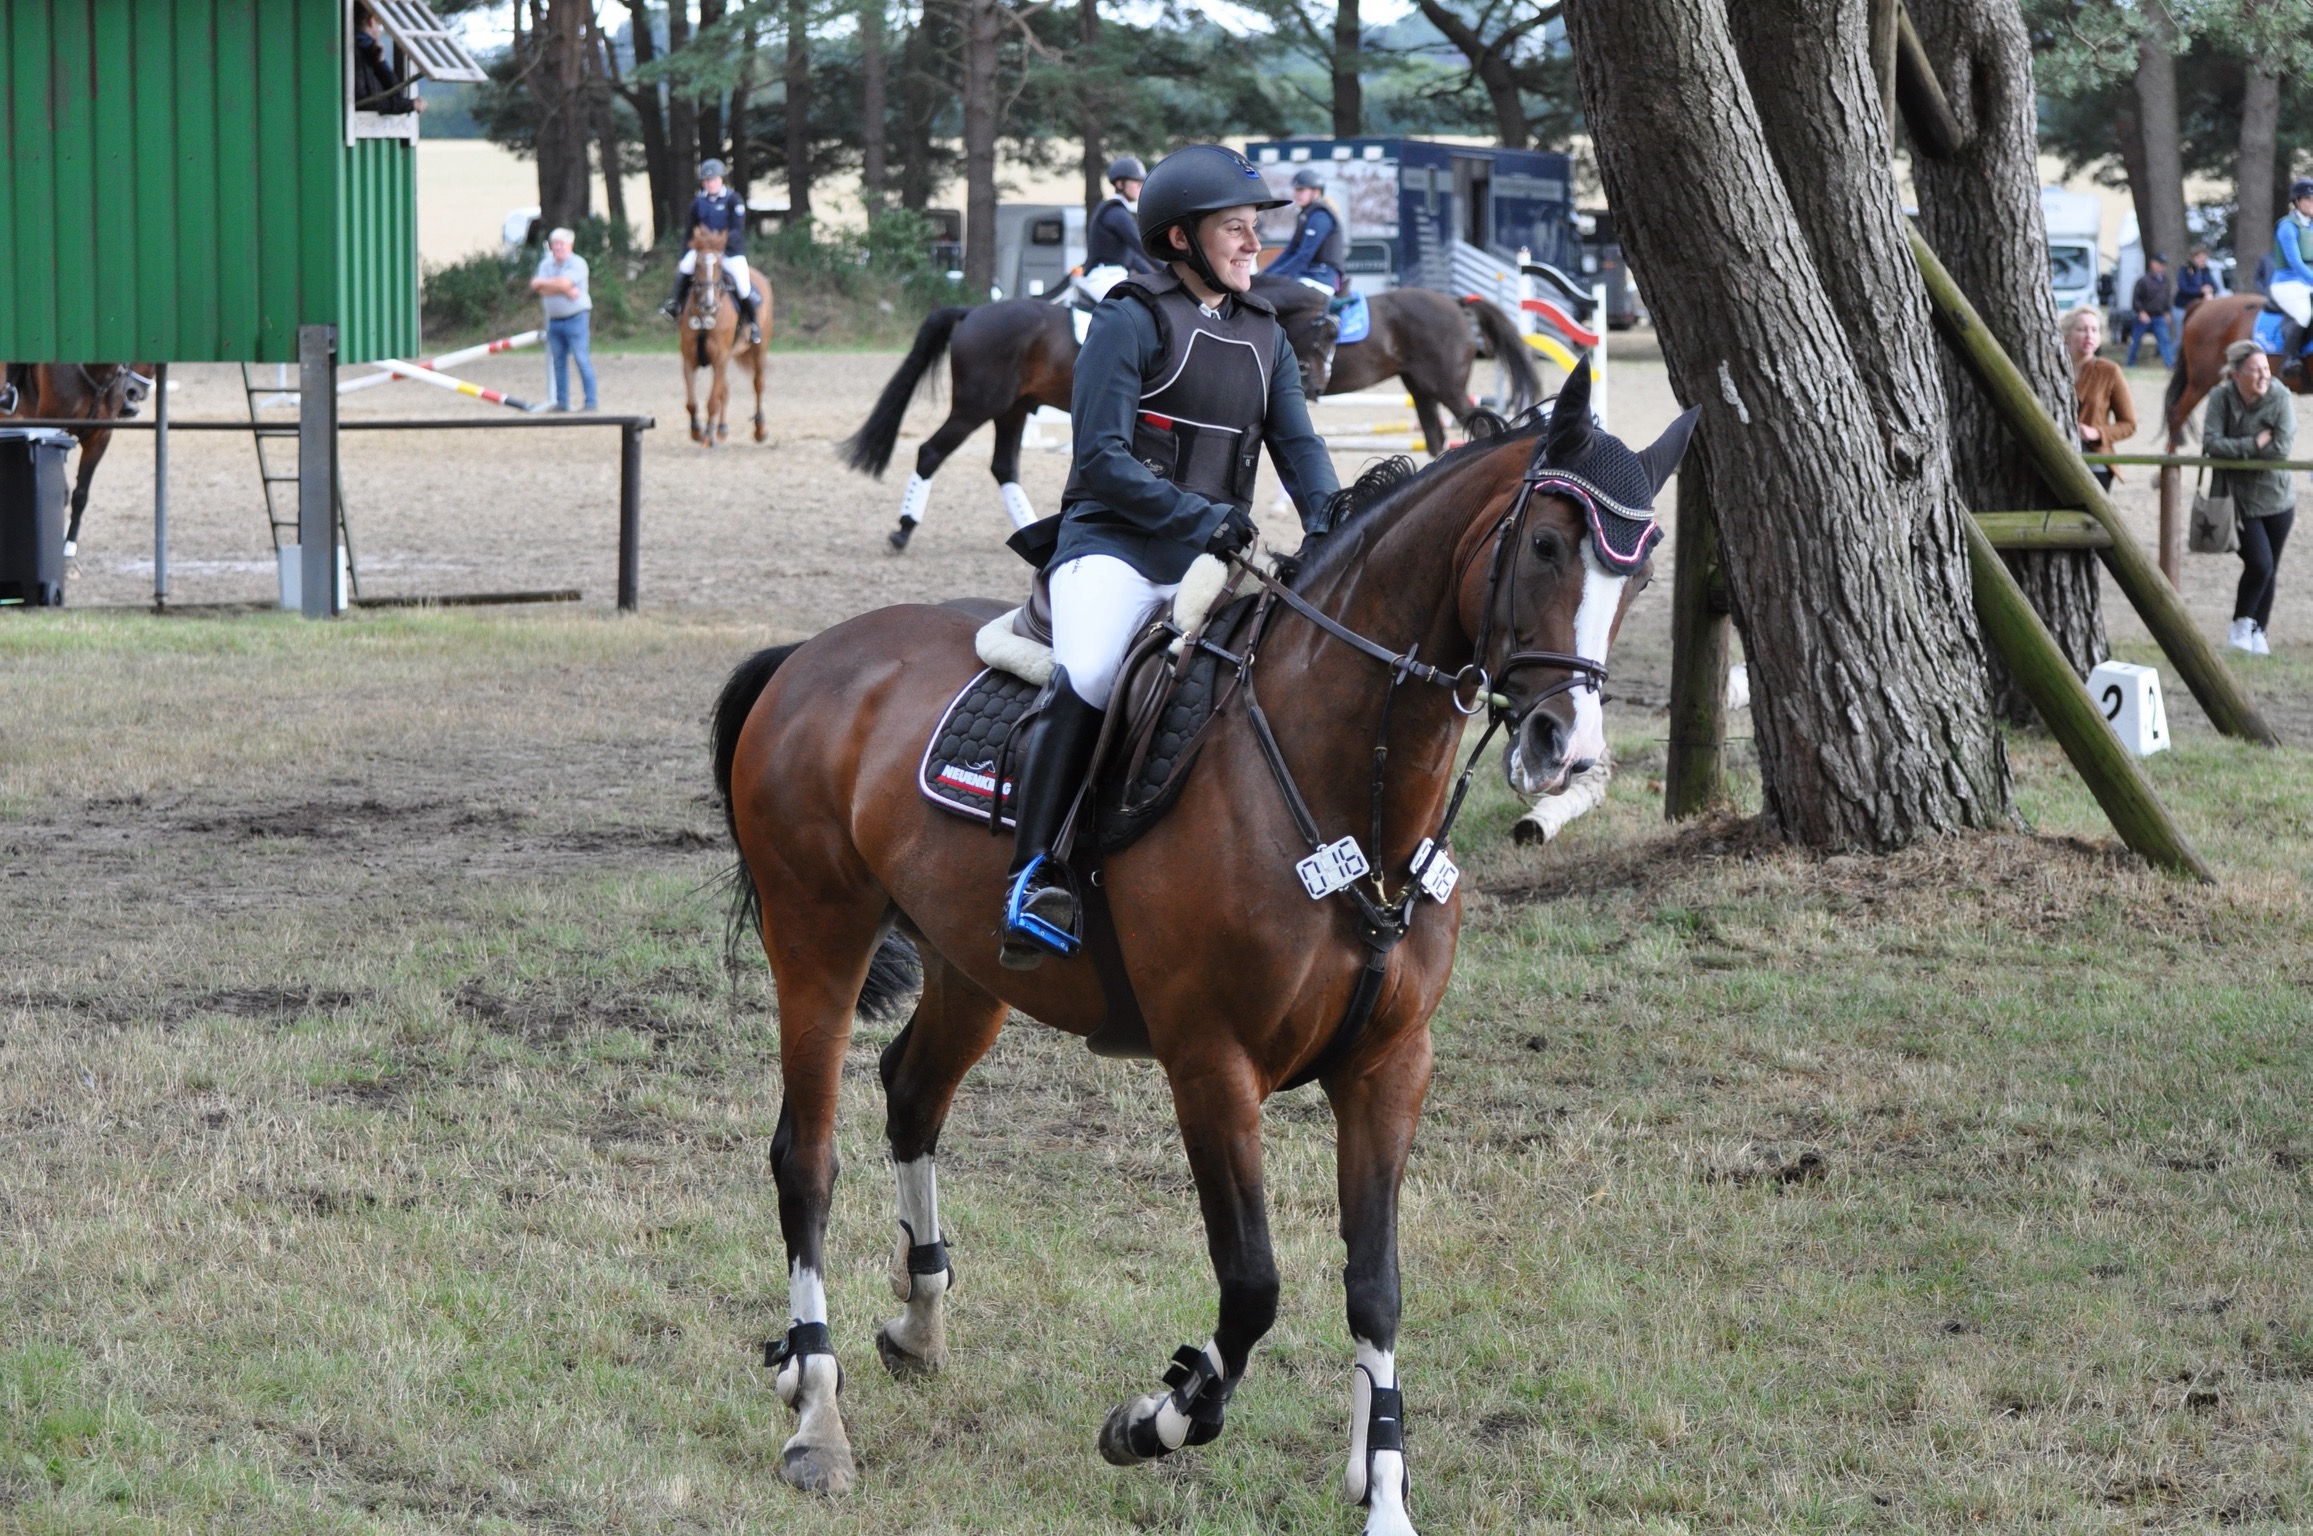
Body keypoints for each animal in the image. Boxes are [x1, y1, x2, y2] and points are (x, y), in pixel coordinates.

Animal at [2, 362, 156, 558]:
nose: (135, 391)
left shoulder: (100, 437)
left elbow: (81, 494)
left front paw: (69, 543)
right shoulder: (53, 430)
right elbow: (62, 491)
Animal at [678, 226, 770, 446]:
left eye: (719, 265)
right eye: (697, 264)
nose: (708, 304)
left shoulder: (719, 357)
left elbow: (712, 401)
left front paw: (707, 435)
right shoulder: (690, 359)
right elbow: (692, 402)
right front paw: (696, 431)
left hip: (759, 349)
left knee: (758, 385)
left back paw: (760, 430)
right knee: (724, 392)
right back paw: (722, 429)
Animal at [715, 362, 1688, 1533]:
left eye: (1641, 576)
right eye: (1545, 545)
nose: (1566, 752)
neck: (1347, 791)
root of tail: (813, 655)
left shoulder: (1388, 1067)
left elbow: (1376, 1284)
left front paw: (1382, 1492)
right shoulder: (1211, 1065)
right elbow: (1254, 1283)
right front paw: (1156, 1418)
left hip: (971, 967)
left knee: (910, 1094)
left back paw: (917, 1323)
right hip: (819, 935)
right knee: (806, 1159)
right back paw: (816, 1414)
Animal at [840, 285, 1540, 551]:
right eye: (1317, 333)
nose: (1315, 383)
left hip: (1009, 407)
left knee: (1001, 464)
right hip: (981, 403)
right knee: (933, 452)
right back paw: (903, 531)